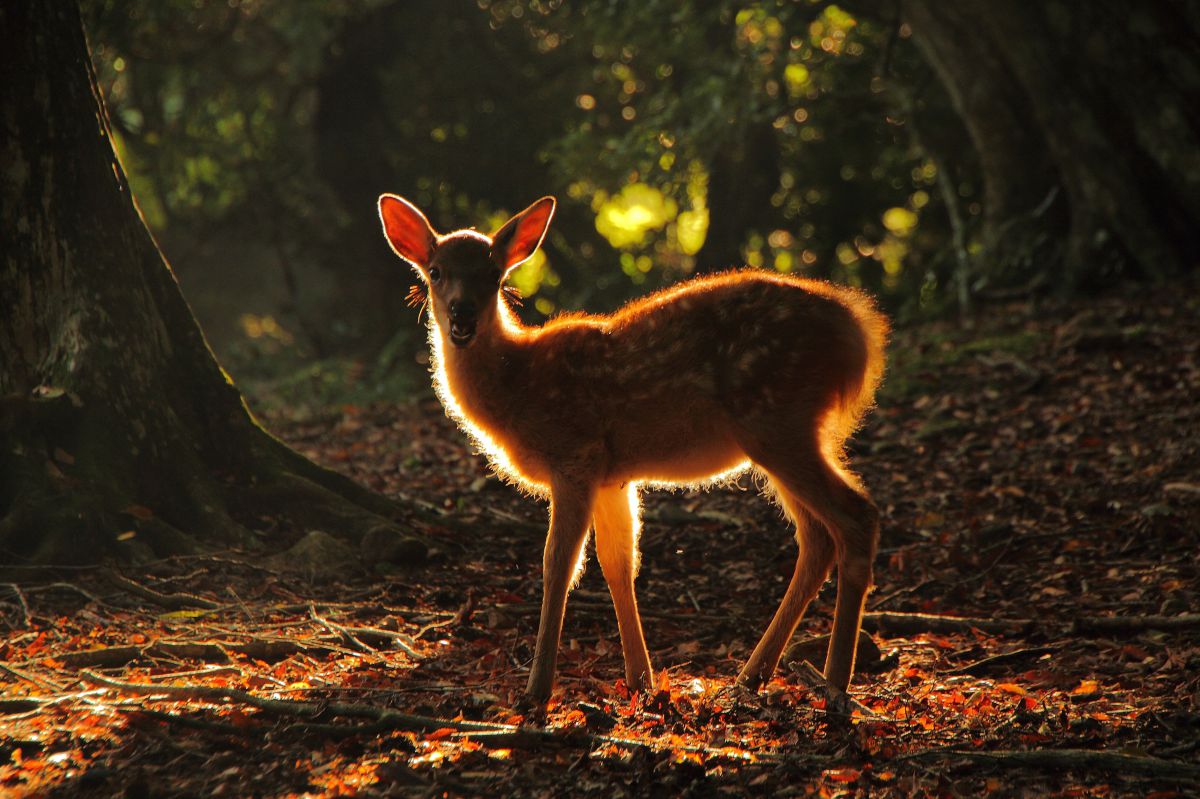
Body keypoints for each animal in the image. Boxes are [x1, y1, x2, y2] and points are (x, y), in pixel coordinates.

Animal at [376, 193, 892, 705]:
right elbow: (618, 563)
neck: (519, 383)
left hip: (777, 419)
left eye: (493, 272)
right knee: (818, 537)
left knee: (856, 516)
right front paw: (641, 681)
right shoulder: (612, 475)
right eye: (435, 271)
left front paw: (537, 691)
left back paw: (835, 682)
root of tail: (859, 334)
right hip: (784, 434)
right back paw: (753, 676)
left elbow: (558, 563)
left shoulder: (575, 456)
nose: (462, 315)